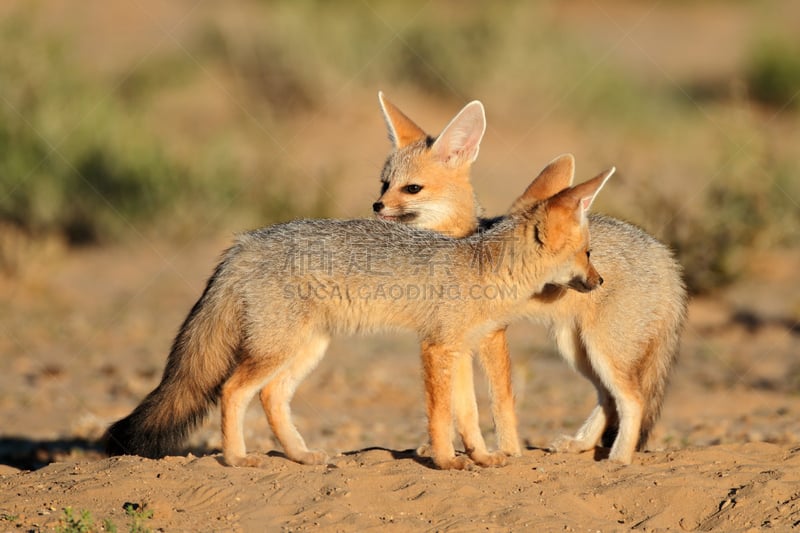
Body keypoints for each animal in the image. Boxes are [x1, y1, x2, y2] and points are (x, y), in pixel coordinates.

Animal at [104, 158, 612, 470]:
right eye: (588, 254)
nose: (601, 281)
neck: (483, 268)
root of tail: (244, 242)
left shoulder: (462, 351)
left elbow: (468, 415)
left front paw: (483, 457)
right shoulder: (436, 349)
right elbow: (441, 416)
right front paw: (446, 461)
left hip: (305, 349)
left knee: (271, 397)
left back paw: (301, 456)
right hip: (278, 349)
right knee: (233, 391)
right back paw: (237, 458)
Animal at [376, 91, 688, 462]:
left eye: (412, 188)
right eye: (384, 183)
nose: (377, 206)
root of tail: (665, 256)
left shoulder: (492, 336)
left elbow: (500, 400)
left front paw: (507, 450)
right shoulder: (448, 337)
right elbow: (452, 398)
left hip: (603, 349)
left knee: (632, 399)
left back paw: (619, 458)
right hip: (576, 348)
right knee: (608, 398)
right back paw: (580, 444)